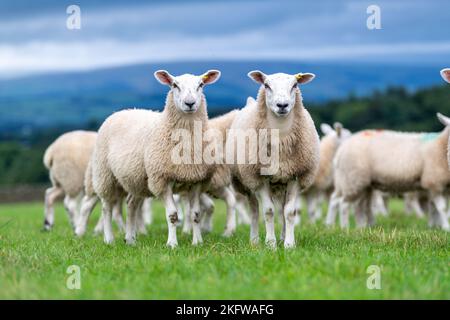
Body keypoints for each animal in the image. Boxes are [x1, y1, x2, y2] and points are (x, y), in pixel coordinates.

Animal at [87, 69, 221, 245]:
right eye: (174, 85)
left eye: (201, 85)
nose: (190, 103)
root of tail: (122, 111)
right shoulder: (162, 179)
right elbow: (172, 215)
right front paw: (172, 243)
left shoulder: (197, 180)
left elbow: (196, 214)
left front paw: (197, 242)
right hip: (105, 175)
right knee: (106, 207)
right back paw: (109, 239)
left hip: (136, 179)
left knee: (131, 204)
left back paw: (130, 239)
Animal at [229, 71, 320, 249]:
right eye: (266, 85)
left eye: (295, 85)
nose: (282, 105)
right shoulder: (260, 177)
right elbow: (268, 211)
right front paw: (270, 244)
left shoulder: (294, 175)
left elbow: (289, 212)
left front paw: (289, 244)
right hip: (247, 182)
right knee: (254, 210)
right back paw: (254, 240)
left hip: (281, 183)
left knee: (283, 210)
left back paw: (283, 237)